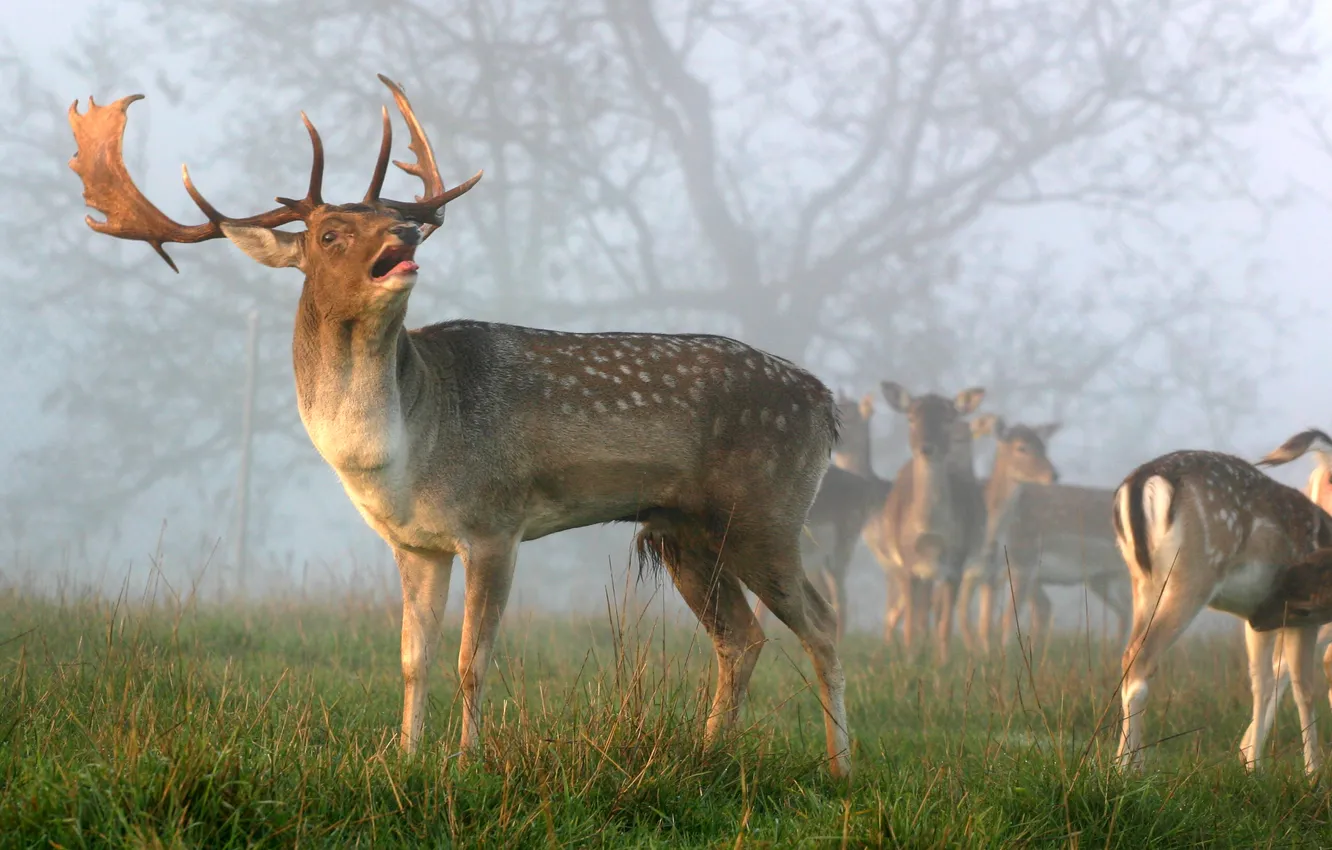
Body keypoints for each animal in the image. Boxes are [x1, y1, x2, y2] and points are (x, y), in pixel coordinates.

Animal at [68, 77, 852, 778]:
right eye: (329, 232)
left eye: (384, 217)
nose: (408, 228)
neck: (406, 451)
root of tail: (827, 404)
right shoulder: (416, 545)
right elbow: (413, 660)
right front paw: (405, 756)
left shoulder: (494, 522)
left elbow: (472, 661)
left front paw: (466, 763)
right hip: (683, 530)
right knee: (741, 638)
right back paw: (710, 754)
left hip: (765, 509)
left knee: (821, 621)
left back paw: (840, 768)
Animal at [862, 382, 986, 661]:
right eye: (911, 417)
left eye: (949, 418)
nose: (926, 448)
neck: (930, 532)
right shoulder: (908, 563)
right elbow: (910, 623)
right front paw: (909, 661)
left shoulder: (956, 563)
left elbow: (945, 624)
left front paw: (943, 663)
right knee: (911, 615)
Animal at [1113, 449, 1332, 775]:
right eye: (1303, 605)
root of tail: (1141, 482)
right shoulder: (1300, 617)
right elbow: (1304, 689)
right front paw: (1313, 775)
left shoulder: (1259, 618)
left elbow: (1262, 682)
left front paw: (1254, 768)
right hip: (1193, 575)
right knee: (1142, 659)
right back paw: (1127, 770)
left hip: (1143, 582)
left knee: (1129, 655)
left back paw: (1121, 763)